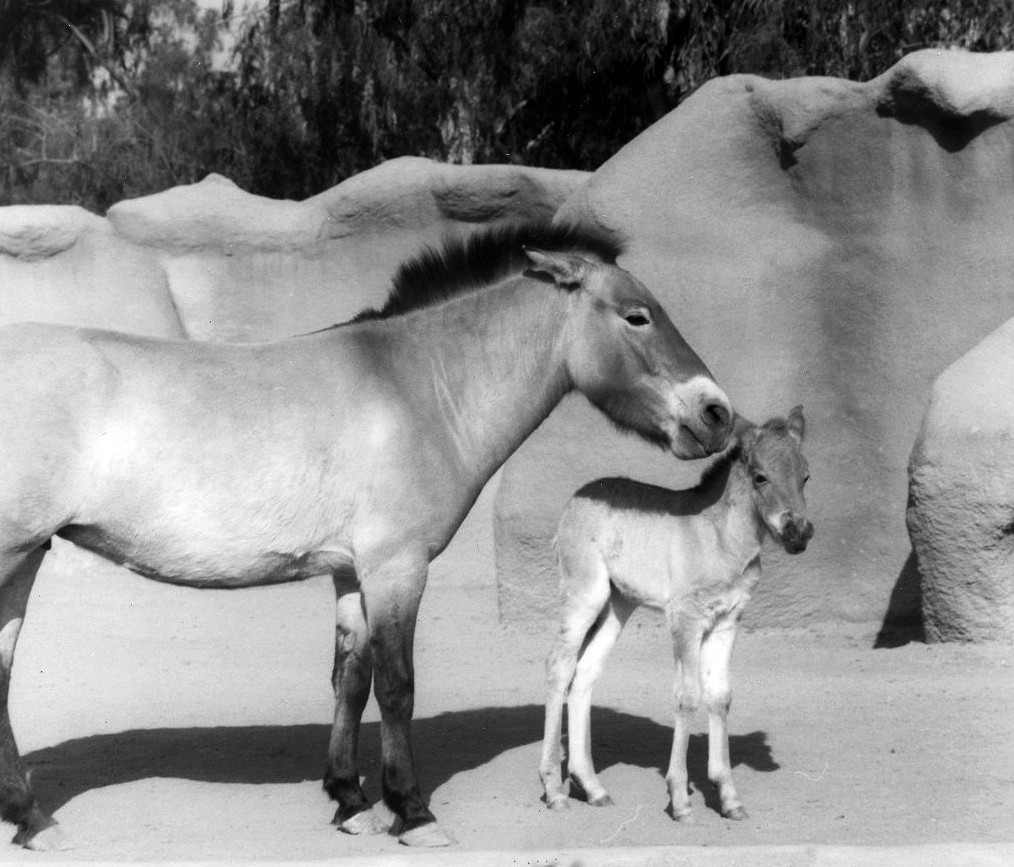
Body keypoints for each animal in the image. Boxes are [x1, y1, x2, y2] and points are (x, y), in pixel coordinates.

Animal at [0, 220, 734, 851]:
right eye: (637, 315)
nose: (717, 413)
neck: (418, 386)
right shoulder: (396, 567)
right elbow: (397, 684)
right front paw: (412, 811)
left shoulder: (352, 572)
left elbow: (349, 679)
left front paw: (350, 801)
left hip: (23, 562)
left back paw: (30, 818)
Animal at [543, 407, 811, 819]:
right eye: (760, 476)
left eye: (805, 476)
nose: (799, 533)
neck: (720, 539)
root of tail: (576, 498)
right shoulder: (685, 619)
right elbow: (687, 696)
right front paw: (680, 797)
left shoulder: (727, 621)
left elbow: (720, 696)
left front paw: (728, 796)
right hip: (585, 594)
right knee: (560, 666)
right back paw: (554, 788)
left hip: (619, 603)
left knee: (585, 673)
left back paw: (591, 786)